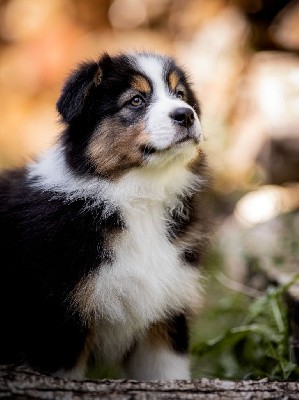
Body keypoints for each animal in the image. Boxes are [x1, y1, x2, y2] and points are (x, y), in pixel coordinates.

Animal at [0, 51, 211, 380]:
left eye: (180, 95)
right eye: (136, 100)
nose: (186, 114)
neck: (138, 197)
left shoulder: (164, 317)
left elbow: (168, 375)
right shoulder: (58, 325)